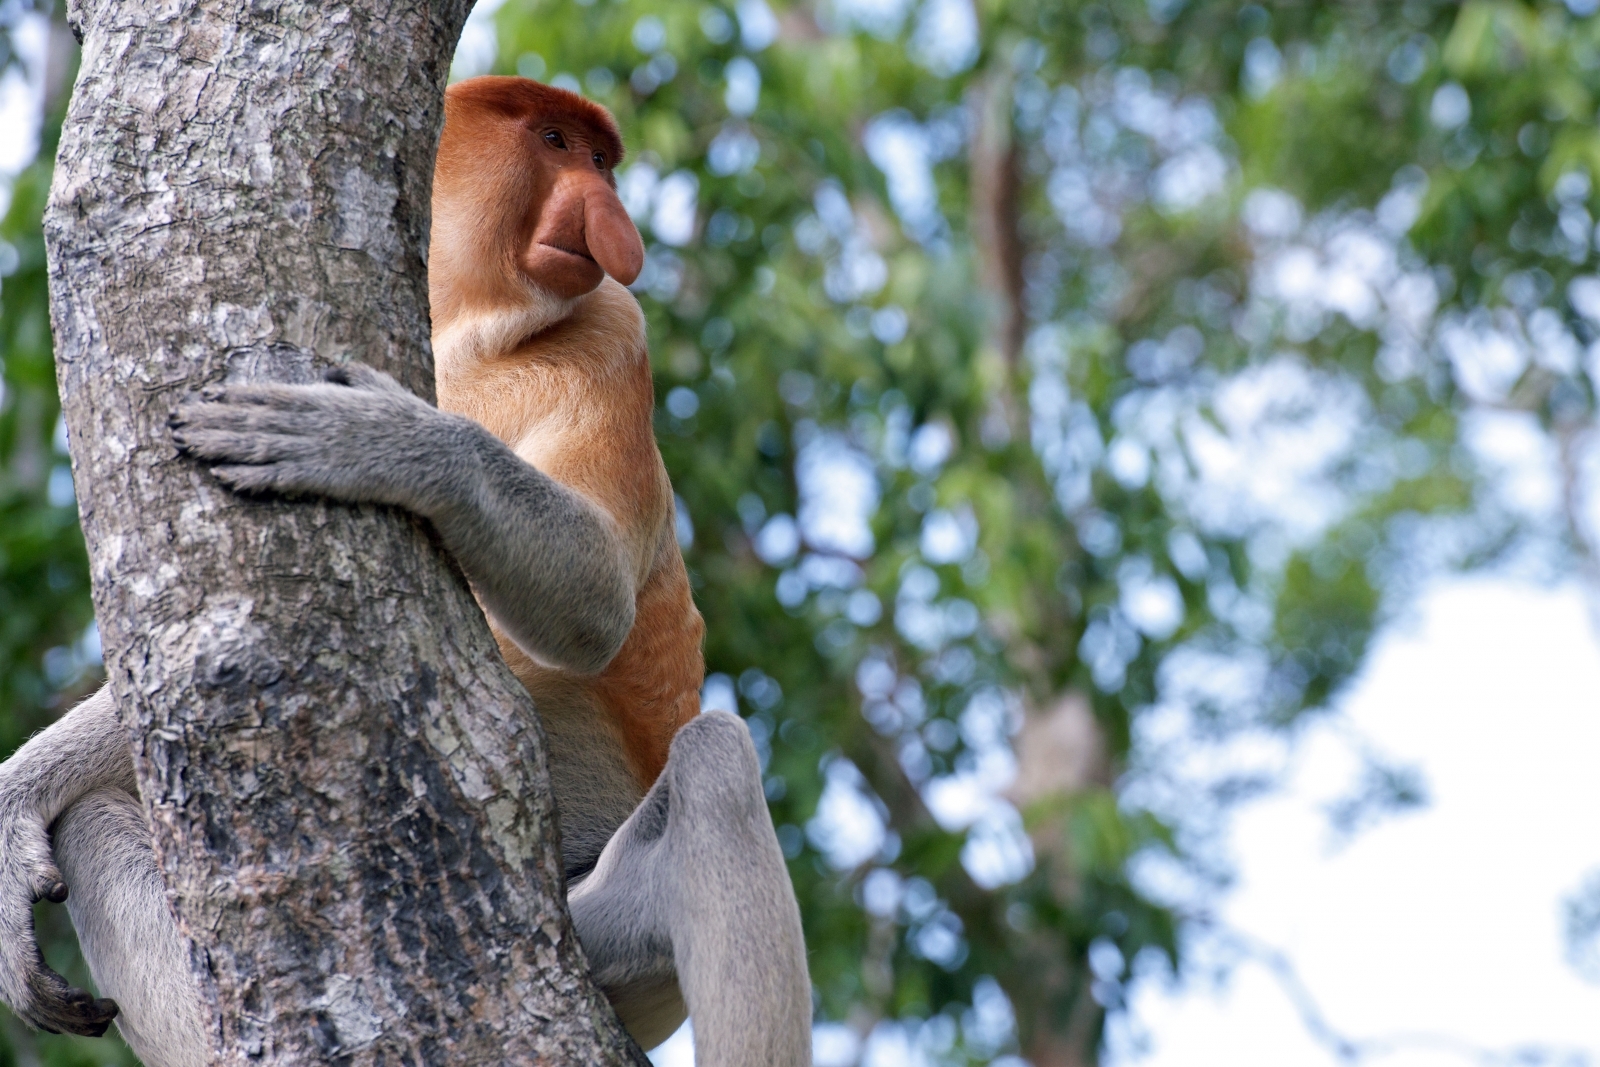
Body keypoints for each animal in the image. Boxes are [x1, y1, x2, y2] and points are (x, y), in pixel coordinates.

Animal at [0, 77, 812, 1067]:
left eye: (600, 159)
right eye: (556, 143)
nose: (611, 217)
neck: (470, 330)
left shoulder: (617, 333)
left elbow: (595, 604)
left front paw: (359, 438)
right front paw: (16, 804)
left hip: (605, 936)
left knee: (714, 763)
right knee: (88, 823)